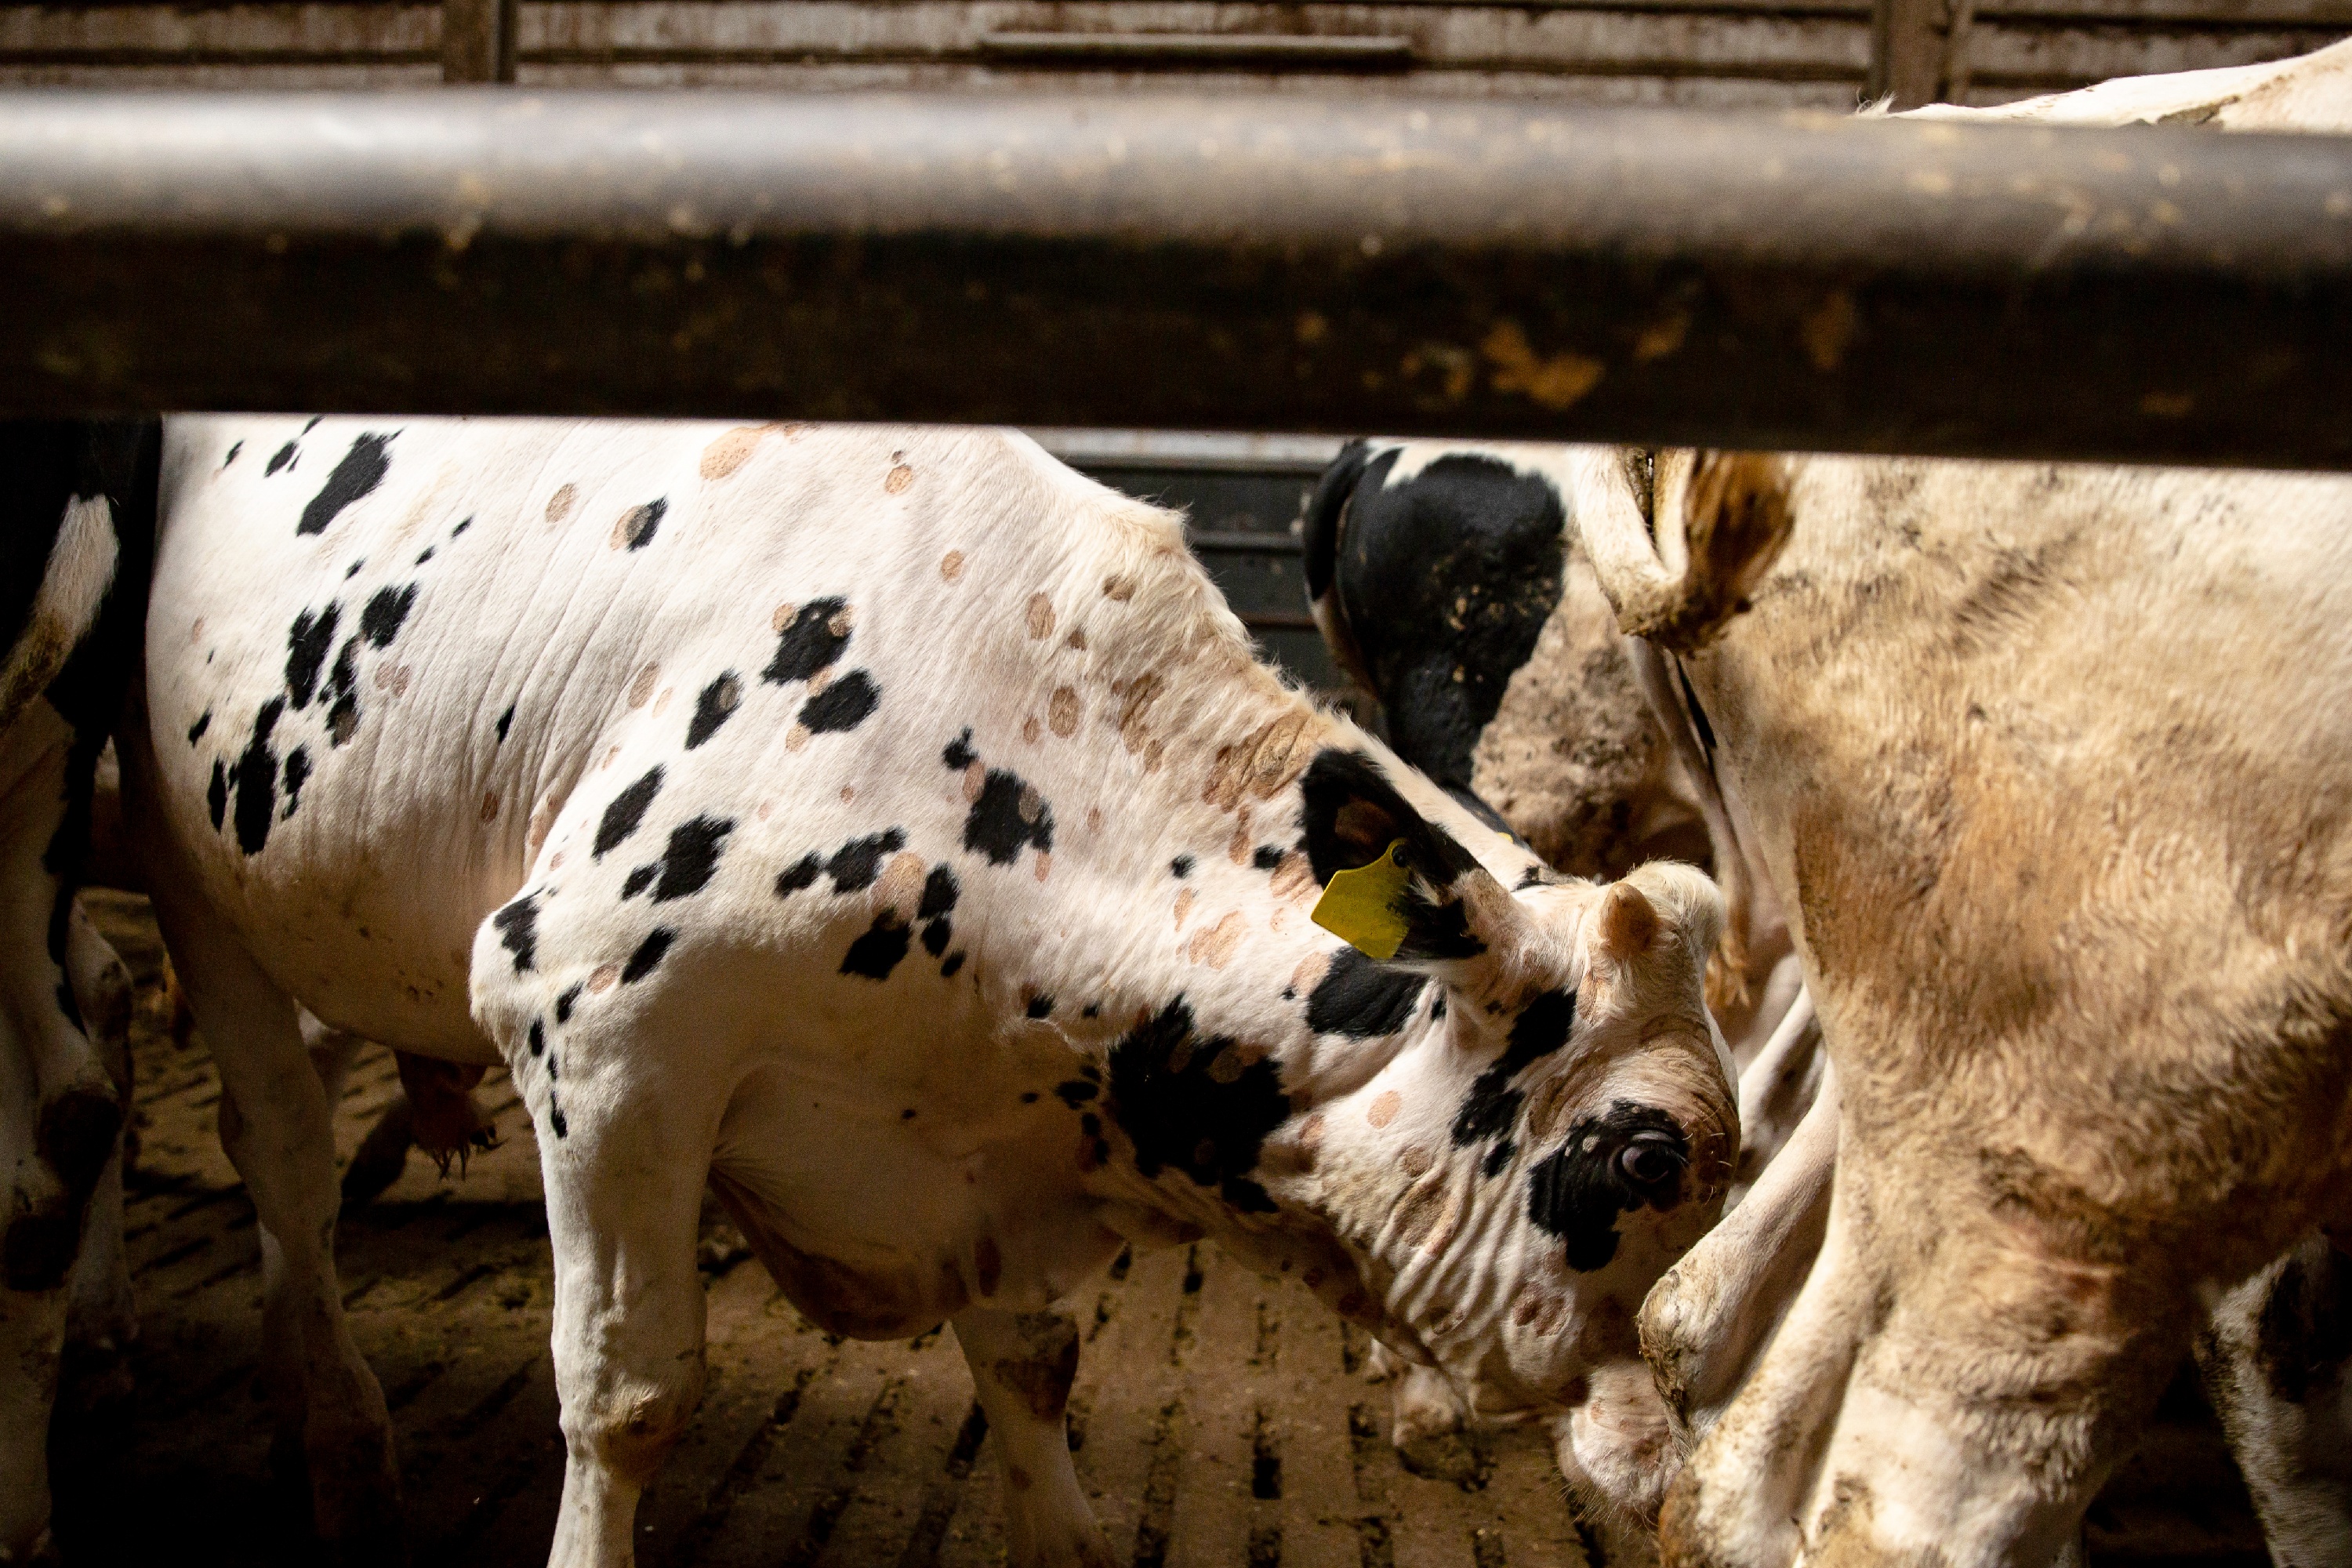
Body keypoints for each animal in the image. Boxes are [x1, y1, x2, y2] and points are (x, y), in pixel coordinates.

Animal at [124, 420, 1750, 1568]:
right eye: (1643, 1156)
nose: (1668, 1476)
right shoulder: (595, 1022)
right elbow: (627, 1393)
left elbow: (1034, 1367)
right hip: (196, 876)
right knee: (281, 1155)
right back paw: (338, 1434)